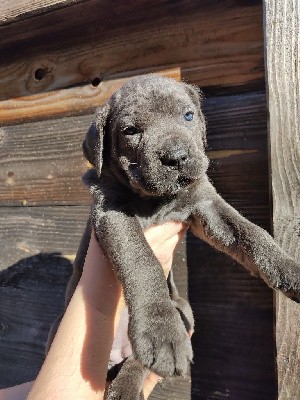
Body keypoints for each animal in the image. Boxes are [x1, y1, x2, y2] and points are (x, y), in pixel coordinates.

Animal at [54, 76, 300, 400]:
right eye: (130, 131)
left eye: (188, 116)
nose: (176, 157)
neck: (156, 200)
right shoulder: (112, 213)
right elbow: (142, 261)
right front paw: (160, 329)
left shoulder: (205, 204)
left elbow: (250, 233)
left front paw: (290, 269)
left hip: (184, 310)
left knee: (137, 361)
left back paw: (127, 385)